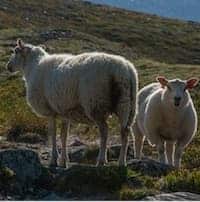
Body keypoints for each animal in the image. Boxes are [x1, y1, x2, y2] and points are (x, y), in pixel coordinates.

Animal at [6, 38, 138, 166]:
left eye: (16, 50)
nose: (8, 66)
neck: (33, 67)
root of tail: (124, 70)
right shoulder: (64, 110)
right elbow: (64, 135)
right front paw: (64, 161)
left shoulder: (50, 111)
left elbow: (53, 133)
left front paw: (54, 160)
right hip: (127, 104)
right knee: (125, 131)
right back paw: (121, 162)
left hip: (95, 103)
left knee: (105, 131)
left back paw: (101, 160)